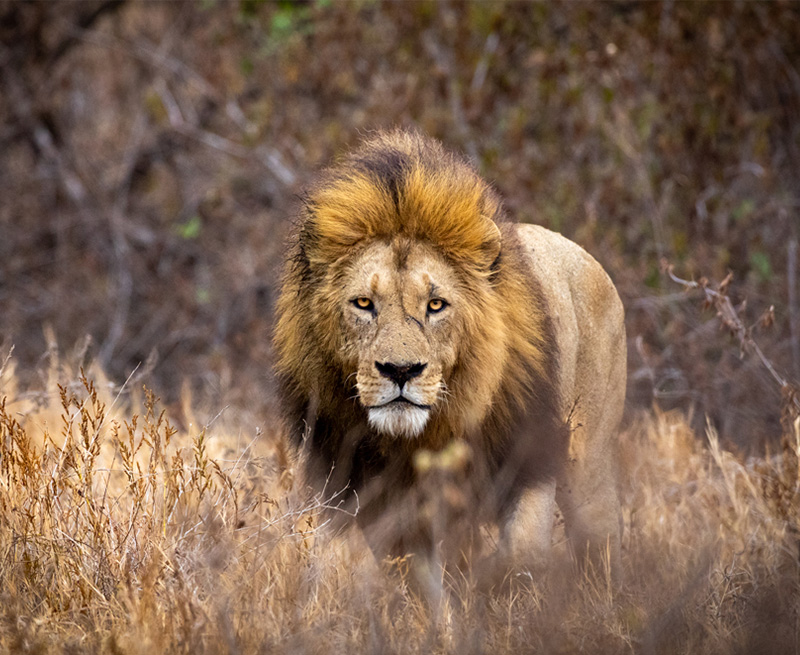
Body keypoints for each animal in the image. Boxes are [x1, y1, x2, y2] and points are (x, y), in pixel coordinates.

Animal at [274, 129, 624, 584]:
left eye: (436, 305)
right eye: (364, 303)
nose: (400, 370)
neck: (420, 438)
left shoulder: (529, 463)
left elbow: (522, 556)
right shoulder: (360, 493)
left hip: (590, 471)